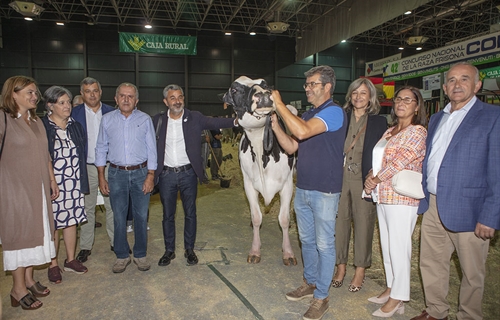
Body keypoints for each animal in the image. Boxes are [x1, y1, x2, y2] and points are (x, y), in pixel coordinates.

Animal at [223, 76, 296, 266]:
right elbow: (256, 217)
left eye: (265, 84)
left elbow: (283, 219)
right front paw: (255, 250)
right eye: (234, 89)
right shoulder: (248, 184)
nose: (263, 95)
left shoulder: (287, 184)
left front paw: (288, 253)